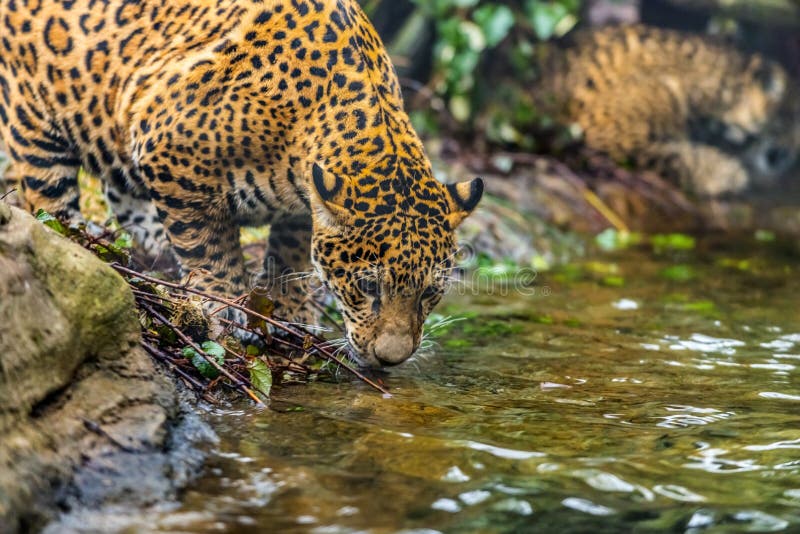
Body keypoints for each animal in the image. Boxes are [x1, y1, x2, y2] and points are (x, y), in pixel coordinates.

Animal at [0, 0, 483, 368]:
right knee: (47, 200)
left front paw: (292, 311)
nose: (391, 359)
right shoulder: (169, 155)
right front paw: (228, 309)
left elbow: (290, 254)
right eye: (367, 288)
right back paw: (81, 243)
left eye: (430, 293)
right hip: (36, 120)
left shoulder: (302, 205)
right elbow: (210, 247)